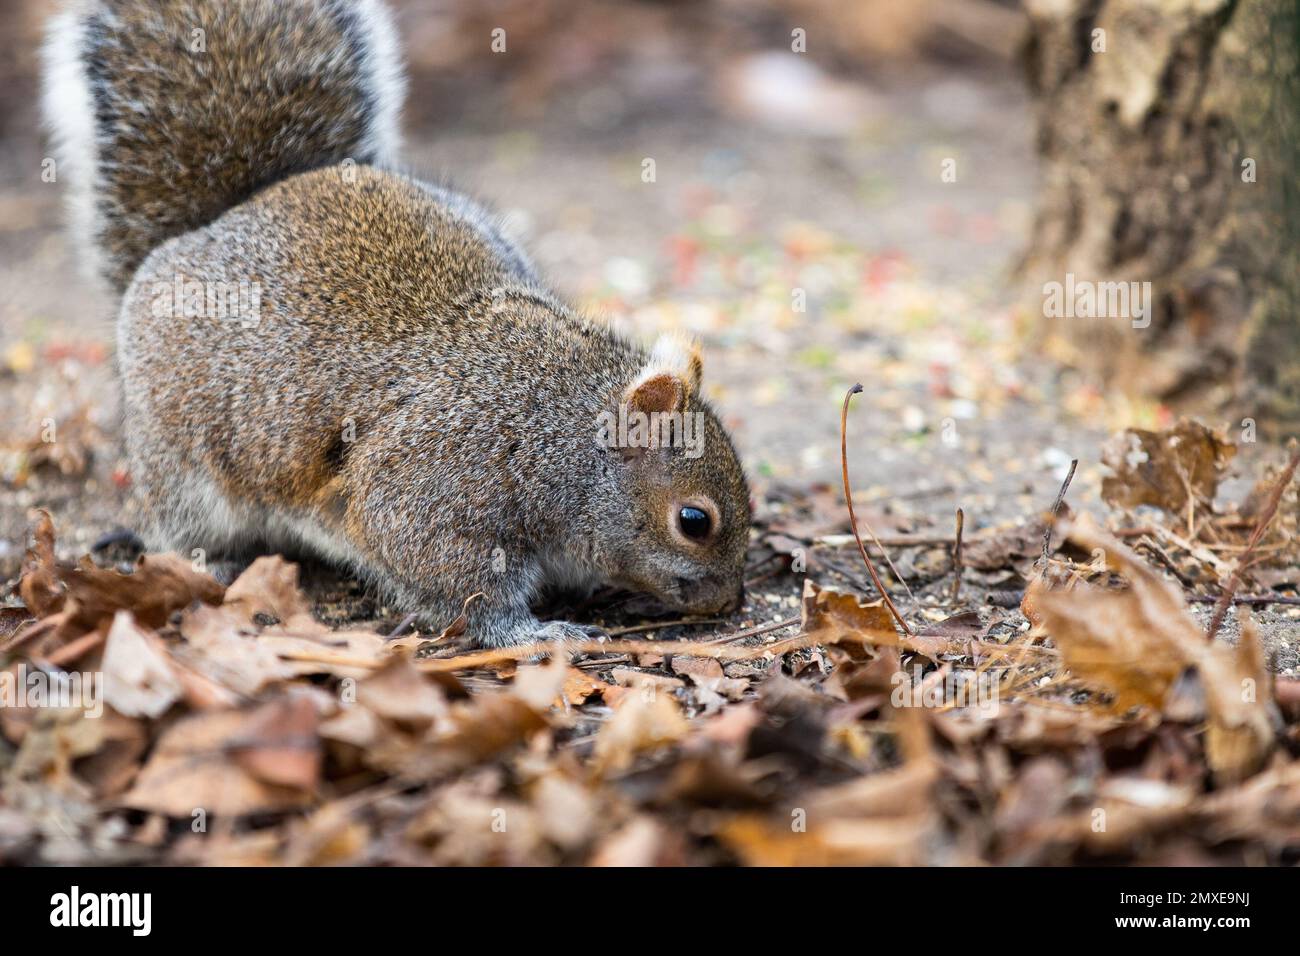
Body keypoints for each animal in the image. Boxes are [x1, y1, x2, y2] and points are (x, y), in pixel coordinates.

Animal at [40, 0, 754, 650]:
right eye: (695, 520)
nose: (728, 601)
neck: (563, 436)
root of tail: (217, 221)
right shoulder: (437, 489)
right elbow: (459, 586)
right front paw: (536, 631)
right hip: (182, 460)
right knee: (180, 524)